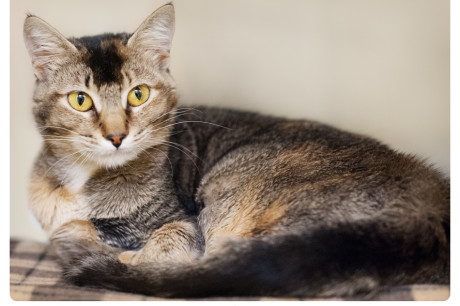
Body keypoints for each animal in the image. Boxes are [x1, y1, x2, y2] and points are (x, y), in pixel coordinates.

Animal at [22, 2, 450, 298]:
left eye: (138, 95)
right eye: (80, 100)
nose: (116, 136)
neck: (81, 181)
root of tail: (428, 211)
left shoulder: (182, 221)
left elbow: (142, 241)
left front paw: (111, 251)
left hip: (231, 195)